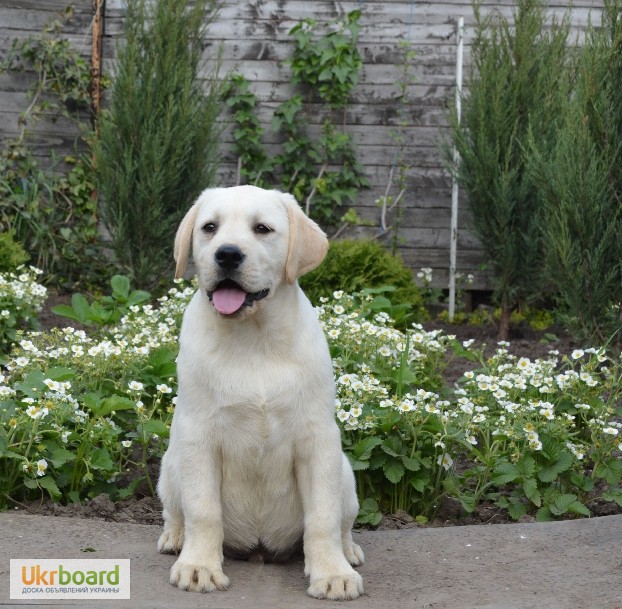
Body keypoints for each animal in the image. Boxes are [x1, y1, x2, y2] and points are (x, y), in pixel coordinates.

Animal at [157, 184, 366, 600]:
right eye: (209, 227)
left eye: (262, 229)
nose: (227, 254)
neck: (253, 339)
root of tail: (259, 549)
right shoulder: (198, 436)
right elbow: (203, 510)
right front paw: (199, 566)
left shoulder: (317, 440)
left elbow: (323, 517)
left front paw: (332, 573)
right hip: (171, 464)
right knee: (176, 511)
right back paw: (176, 538)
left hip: (346, 474)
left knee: (343, 521)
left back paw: (348, 551)